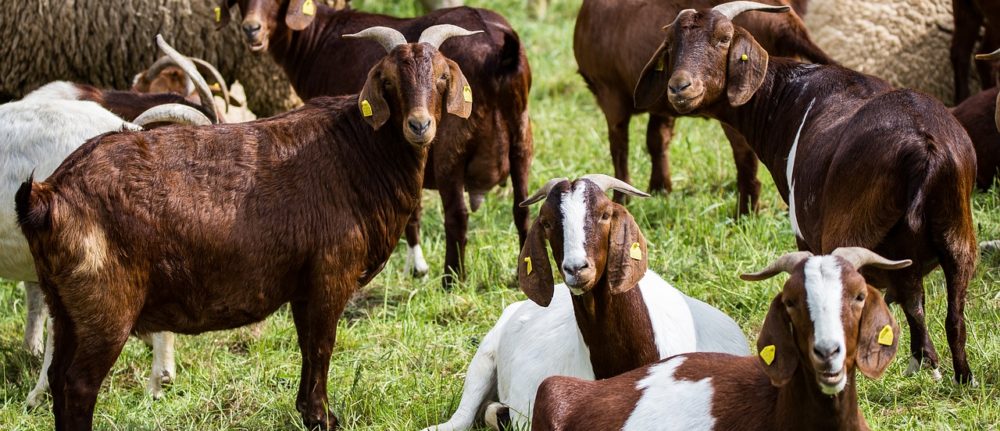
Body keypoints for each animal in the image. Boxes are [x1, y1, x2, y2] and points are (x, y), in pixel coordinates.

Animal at [217, 0, 533, 286]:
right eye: (389, 81)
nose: (251, 29)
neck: (319, 38)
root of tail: (500, 52)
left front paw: (417, 267)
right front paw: (417, 266)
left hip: (451, 146)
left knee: (457, 215)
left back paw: (451, 280)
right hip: (521, 138)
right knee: (522, 206)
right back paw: (522, 275)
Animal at [573, 0, 832, 215]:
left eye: (724, 39)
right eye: (668, 46)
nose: (679, 86)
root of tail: (785, 25)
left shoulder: (610, 93)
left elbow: (619, 148)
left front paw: (621, 200)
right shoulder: (663, 105)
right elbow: (657, 140)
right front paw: (660, 189)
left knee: (744, 155)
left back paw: (745, 213)